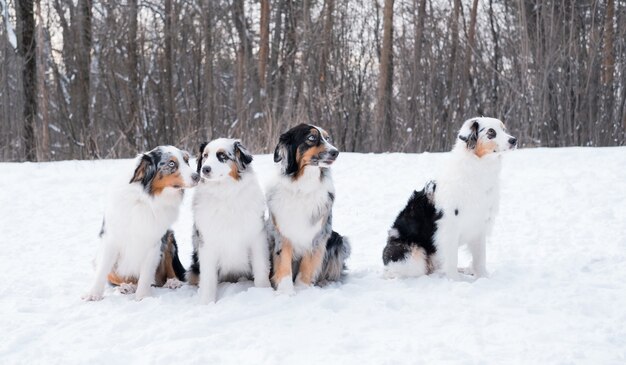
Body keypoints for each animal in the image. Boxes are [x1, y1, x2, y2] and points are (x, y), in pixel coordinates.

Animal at [81, 146, 197, 300]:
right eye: (171, 163)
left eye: (186, 160)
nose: (197, 176)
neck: (146, 199)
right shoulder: (111, 238)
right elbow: (102, 269)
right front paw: (93, 294)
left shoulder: (154, 241)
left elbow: (146, 274)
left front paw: (142, 297)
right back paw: (127, 286)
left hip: (169, 237)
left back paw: (172, 282)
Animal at [188, 138, 270, 302]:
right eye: (205, 156)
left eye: (222, 156)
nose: (204, 169)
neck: (225, 193)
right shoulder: (207, 242)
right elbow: (208, 278)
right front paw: (206, 302)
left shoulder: (257, 237)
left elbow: (261, 267)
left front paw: (263, 292)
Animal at [264, 123, 348, 292]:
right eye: (311, 138)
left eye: (327, 138)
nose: (336, 152)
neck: (303, 185)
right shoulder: (282, 231)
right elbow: (283, 261)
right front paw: (286, 292)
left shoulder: (318, 233)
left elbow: (308, 264)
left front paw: (303, 289)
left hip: (339, 240)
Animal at [382, 116, 516, 278]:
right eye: (491, 132)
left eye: (503, 129)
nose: (514, 140)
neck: (477, 167)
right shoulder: (449, 226)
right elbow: (452, 259)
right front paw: (456, 280)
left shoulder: (479, 224)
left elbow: (480, 258)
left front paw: (483, 277)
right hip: (413, 256)